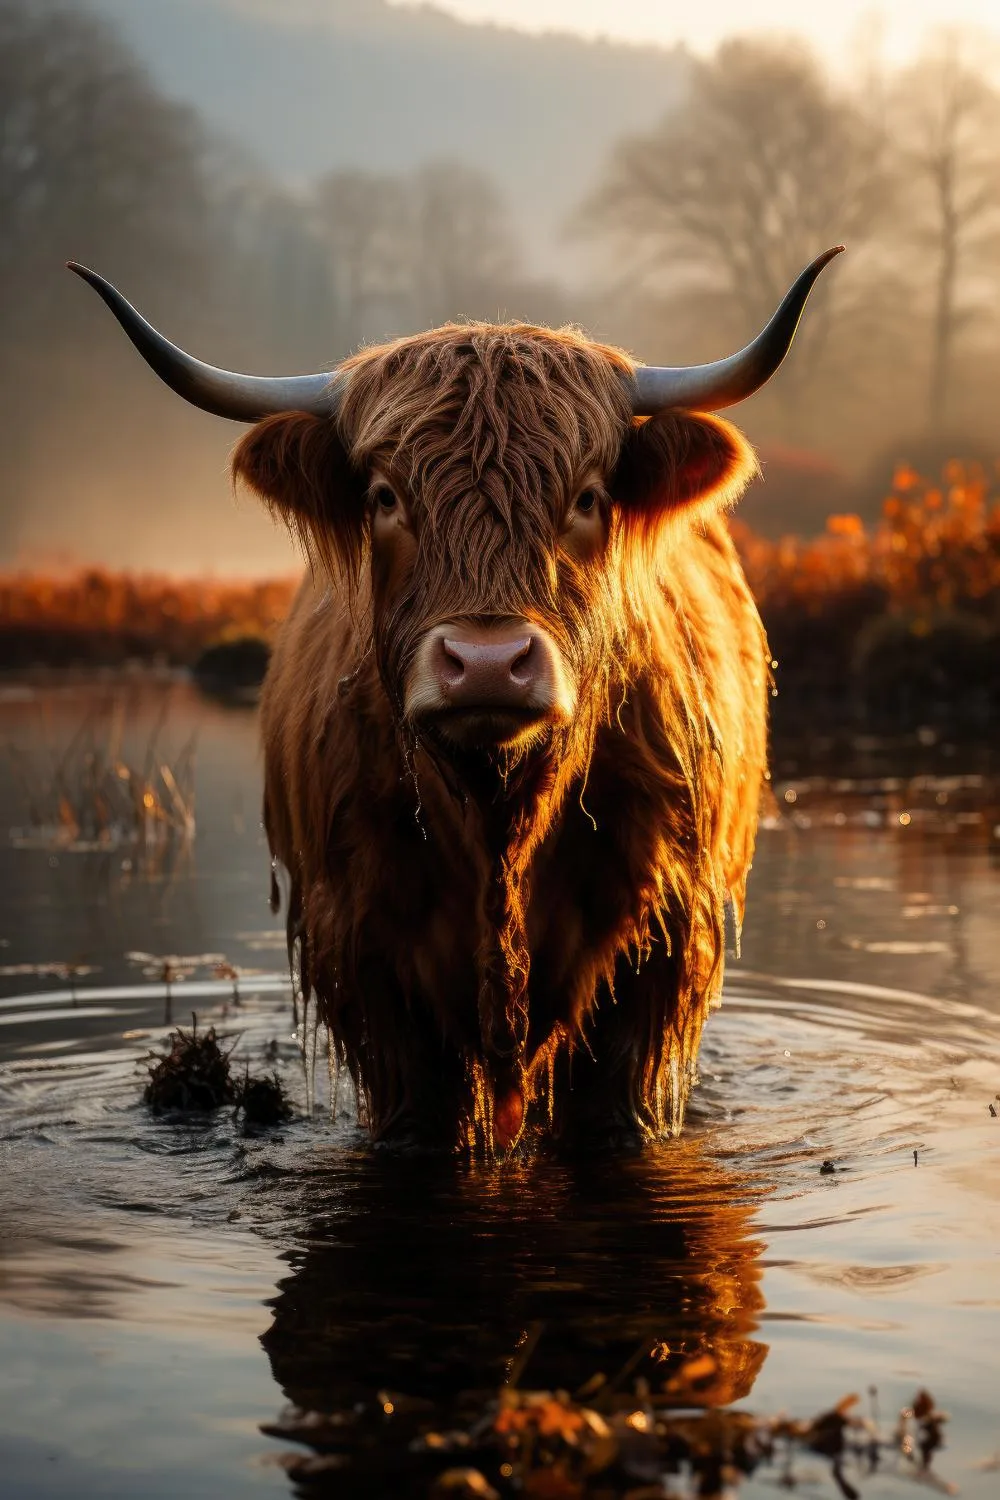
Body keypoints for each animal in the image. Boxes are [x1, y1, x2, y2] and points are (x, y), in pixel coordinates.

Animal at [70, 247, 842, 1152]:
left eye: (586, 497)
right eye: (385, 497)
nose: (486, 664)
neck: (498, 814)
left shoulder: (653, 944)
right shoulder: (368, 957)